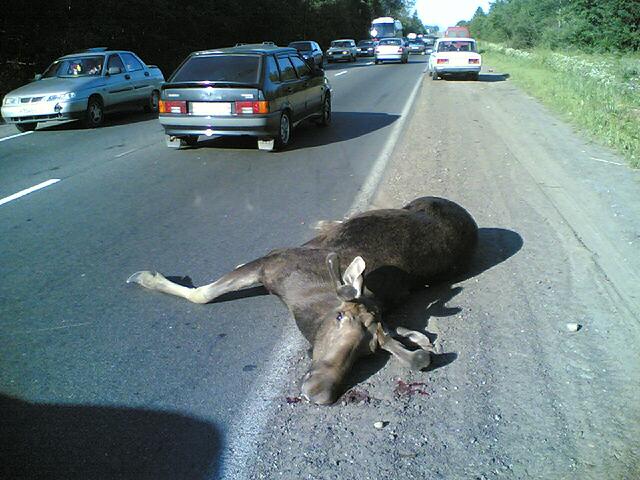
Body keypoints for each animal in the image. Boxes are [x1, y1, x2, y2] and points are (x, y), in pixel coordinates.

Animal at [127, 197, 478, 404]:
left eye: (370, 352)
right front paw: (147, 277)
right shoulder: (272, 261)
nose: (320, 393)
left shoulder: (271, 265)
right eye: (340, 318)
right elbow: (203, 293)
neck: (301, 300)